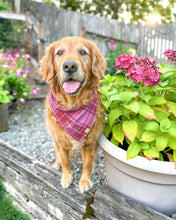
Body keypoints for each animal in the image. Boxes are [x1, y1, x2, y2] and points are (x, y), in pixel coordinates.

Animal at [39, 37, 105, 193]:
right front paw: (66, 177)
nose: (69, 66)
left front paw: (85, 181)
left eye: (83, 52)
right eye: (59, 52)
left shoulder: (91, 142)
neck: (73, 107)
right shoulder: (60, 140)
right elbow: (64, 160)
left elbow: (87, 163)